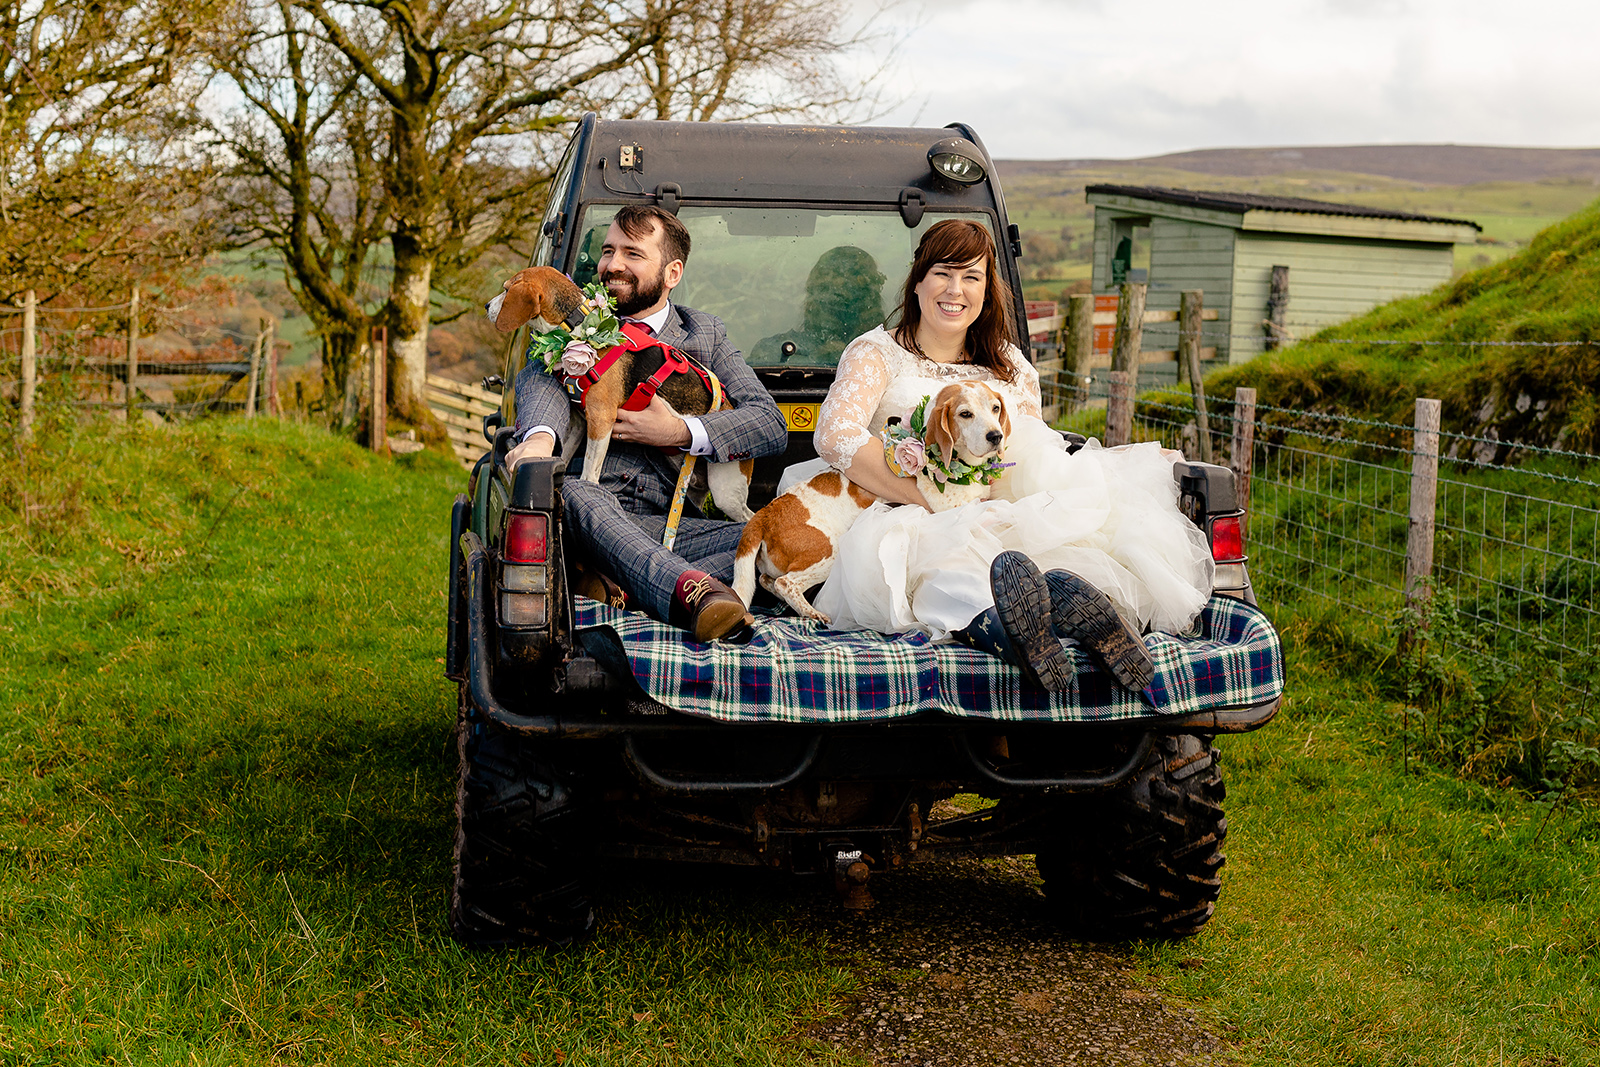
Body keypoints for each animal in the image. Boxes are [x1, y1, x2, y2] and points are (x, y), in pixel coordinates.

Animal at [486, 265, 755, 518]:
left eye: (507, 289)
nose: (487, 305)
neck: (577, 326)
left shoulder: (601, 419)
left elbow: (589, 472)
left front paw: (585, 485)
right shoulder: (579, 422)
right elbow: (565, 453)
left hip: (726, 490)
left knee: (746, 515)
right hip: (695, 486)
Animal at [732, 379, 1004, 620]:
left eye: (995, 408)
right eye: (965, 414)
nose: (996, 436)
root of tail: (765, 514)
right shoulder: (951, 507)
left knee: (766, 580)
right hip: (828, 551)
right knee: (785, 583)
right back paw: (812, 613)